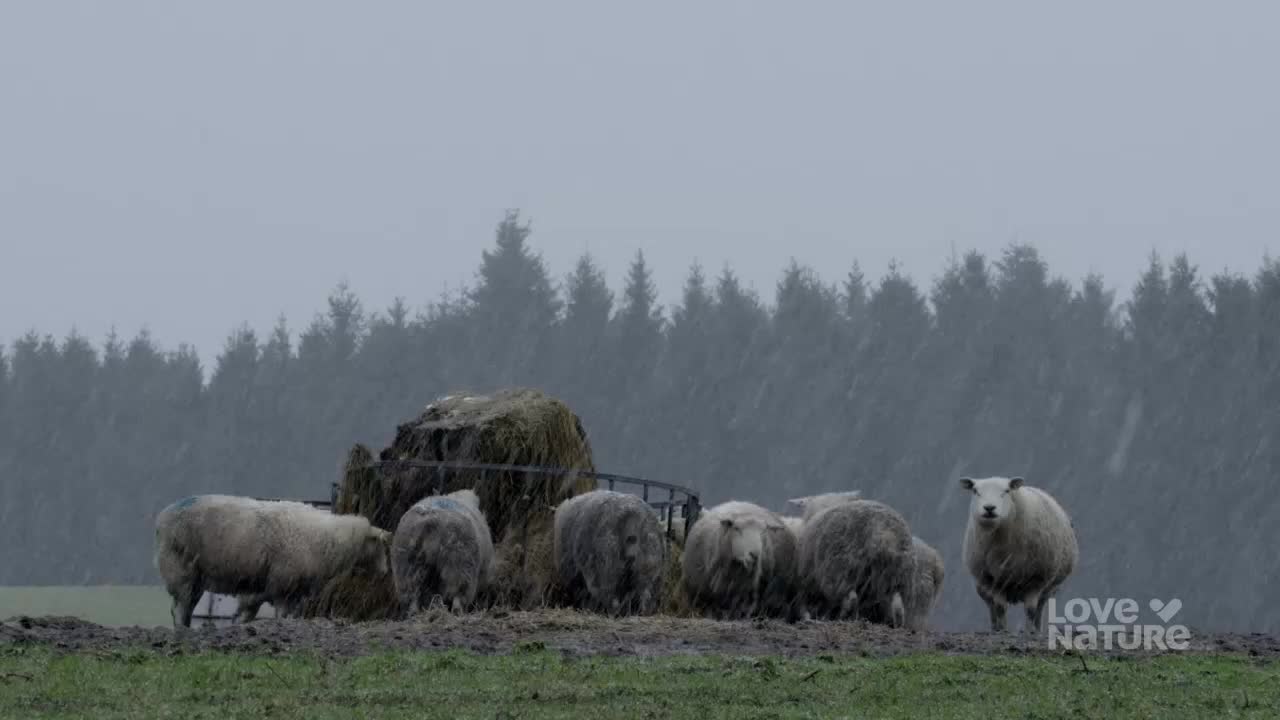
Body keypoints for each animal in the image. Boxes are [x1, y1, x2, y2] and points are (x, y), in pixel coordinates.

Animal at [154, 494, 390, 628]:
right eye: (380, 546)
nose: (386, 572)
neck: (328, 538)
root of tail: (163, 516)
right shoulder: (283, 584)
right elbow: (280, 614)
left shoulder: (283, 589)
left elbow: (253, 612)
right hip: (180, 568)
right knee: (181, 607)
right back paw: (181, 631)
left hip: (196, 577)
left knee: (187, 606)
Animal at [796, 498, 913, 627]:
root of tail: (883, 533)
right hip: (898, 578)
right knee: (897, 605)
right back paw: (896, 624)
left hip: (843, 570)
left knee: (850, 598)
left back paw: (843, 617)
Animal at [958, 475, 1078, 634]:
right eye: (975, 491)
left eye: (1006, 491)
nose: (989, 508)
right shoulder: (994, 580)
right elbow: (1000, 608)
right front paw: (1003, 630)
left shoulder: (1037, 578)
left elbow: (1031, 609)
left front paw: (1029, 631)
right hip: (982, 586)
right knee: (991, 607)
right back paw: (995, 628)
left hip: (1050, 588)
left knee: (1040, 607)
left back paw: (1037, 630)